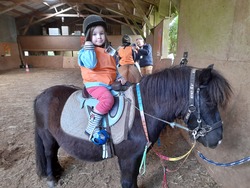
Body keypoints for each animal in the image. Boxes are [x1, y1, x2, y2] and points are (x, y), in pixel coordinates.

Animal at [34, 64, 231, 187]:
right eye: (209, 101)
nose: (219, 139)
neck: (141, 113)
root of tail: (42, 95)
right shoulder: (128, 159)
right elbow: (129, 183)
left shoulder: (135, 158)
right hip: (47, 136)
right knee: (49, 153)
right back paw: (52, 178)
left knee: (54, 153)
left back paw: (58, 171)